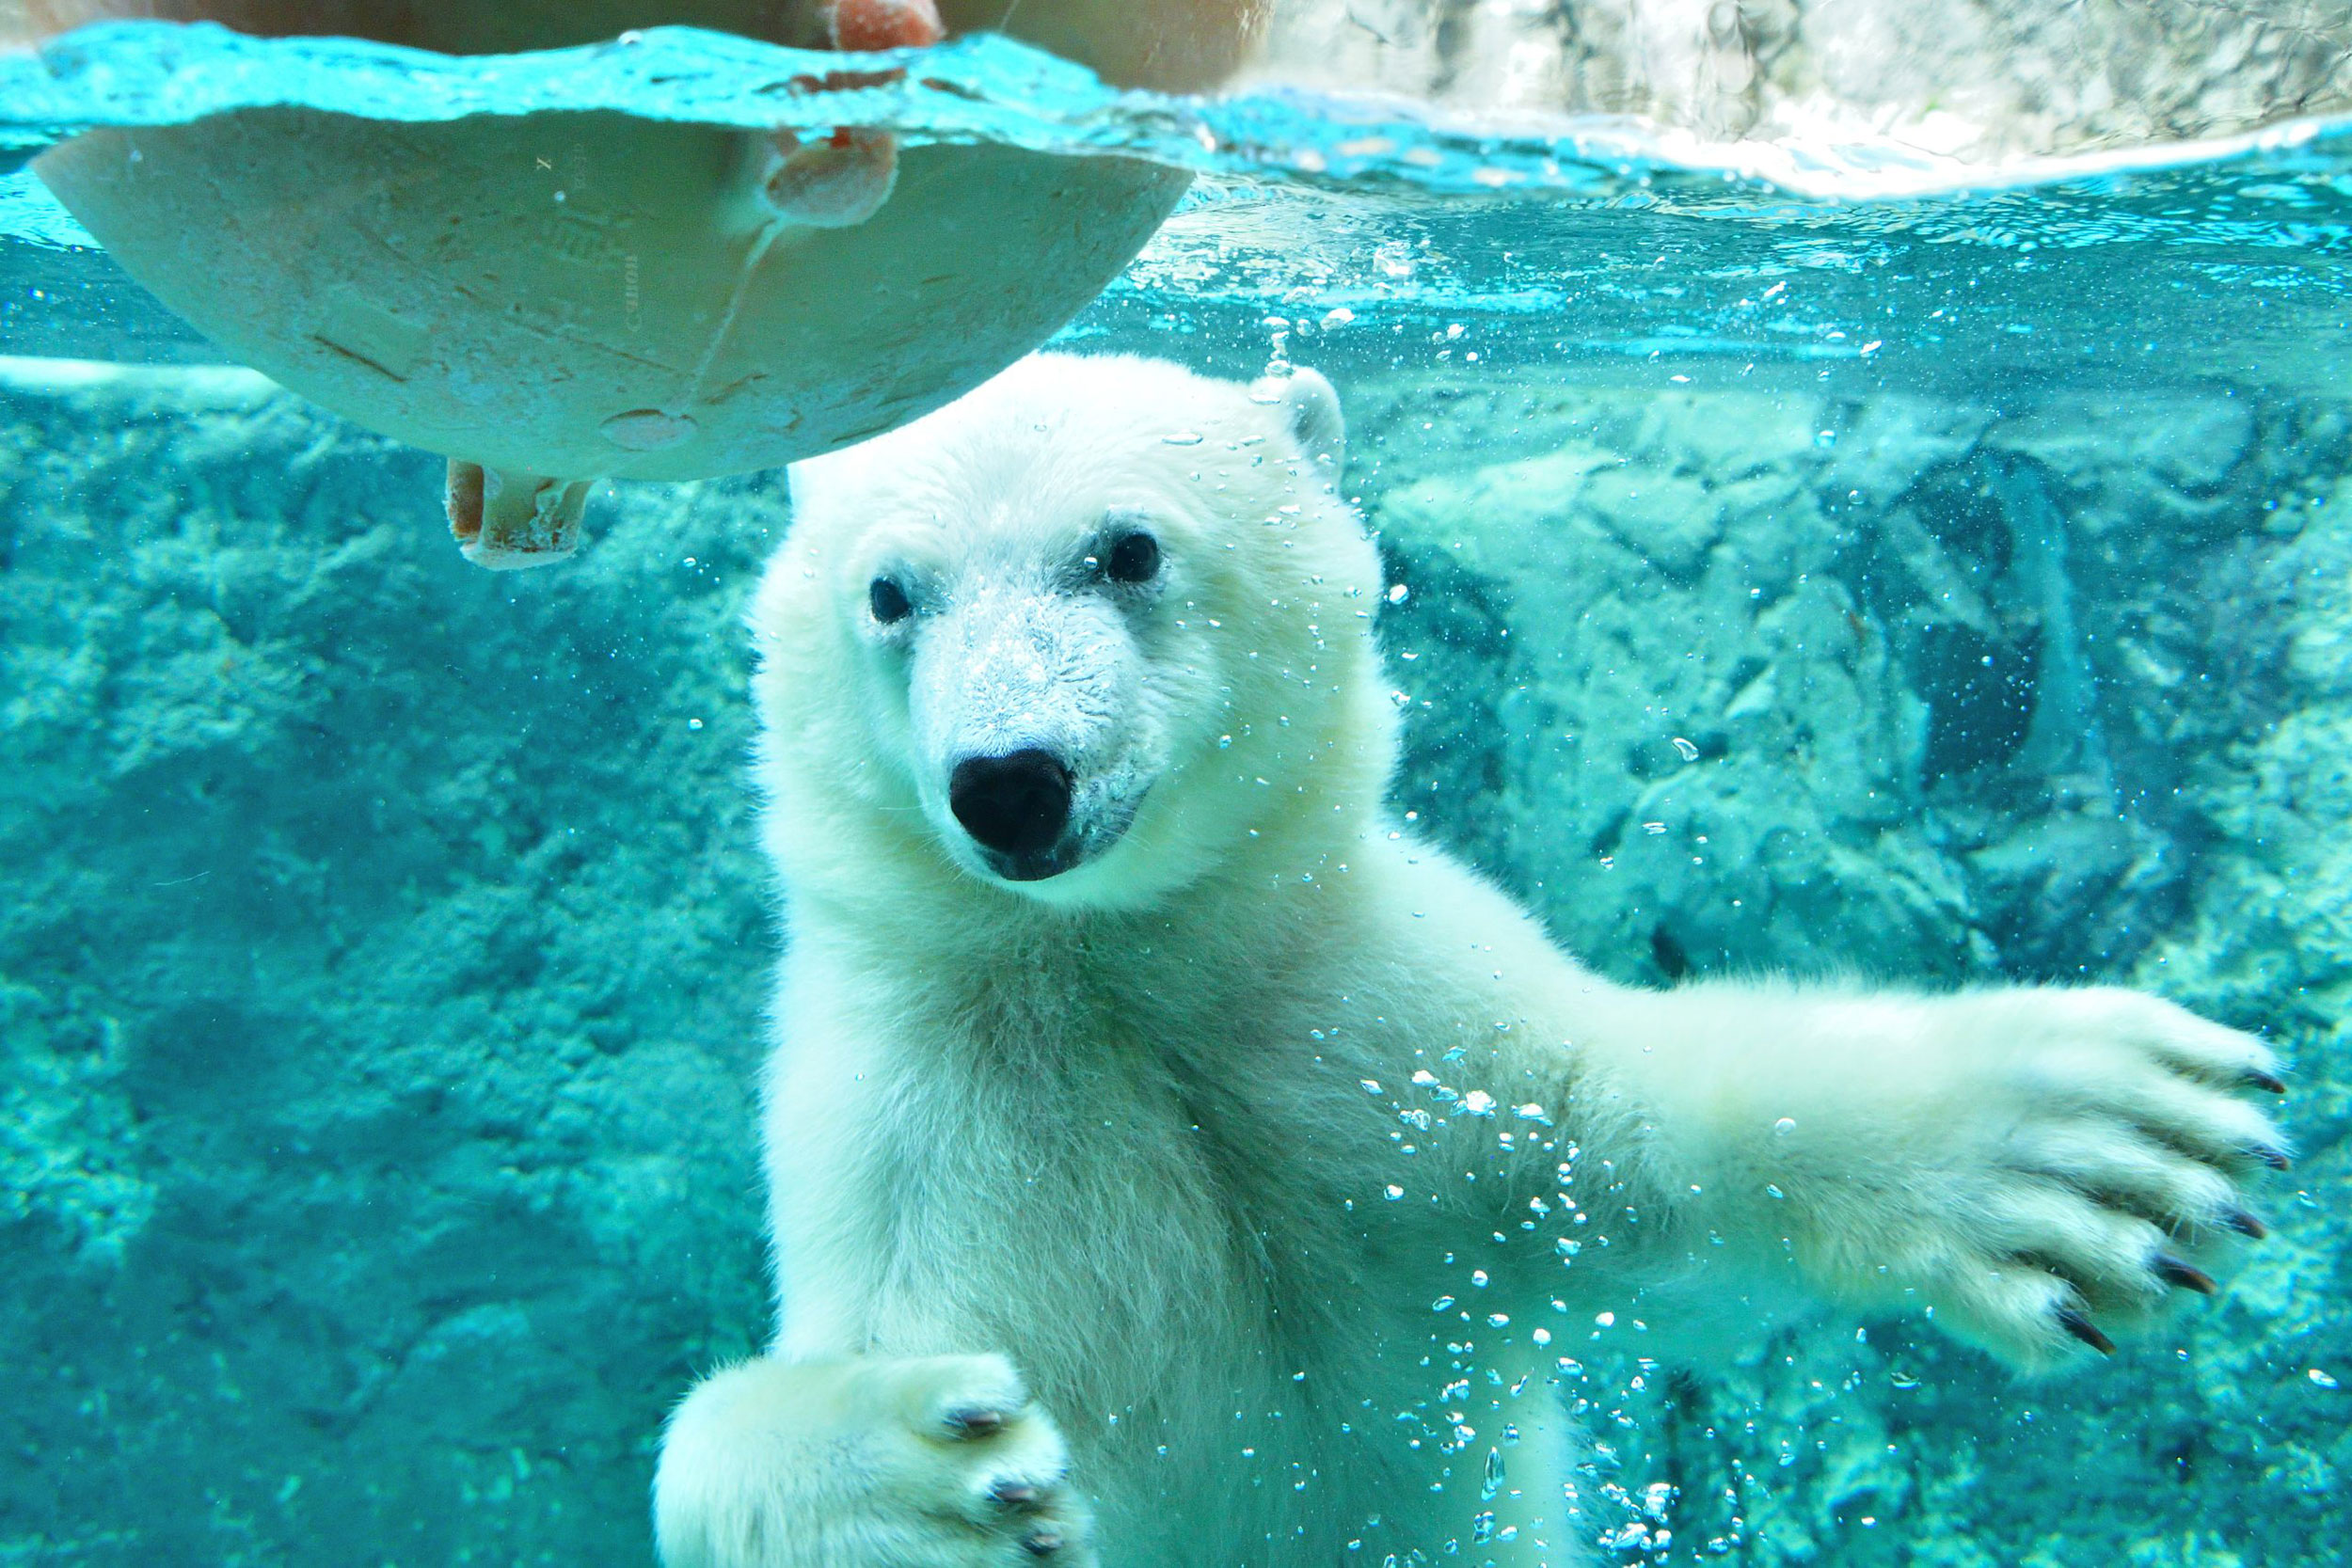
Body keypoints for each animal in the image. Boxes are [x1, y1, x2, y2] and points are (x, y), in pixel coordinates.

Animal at [654, 355, 2286, 1568]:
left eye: (1127, 547)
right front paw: (925, 1484)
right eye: (889, 593)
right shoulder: (918, 1127)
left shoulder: (1364, 1024)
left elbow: (1625, 1143)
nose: (1010, 780)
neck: (1114, 966)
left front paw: (2089, 1145)